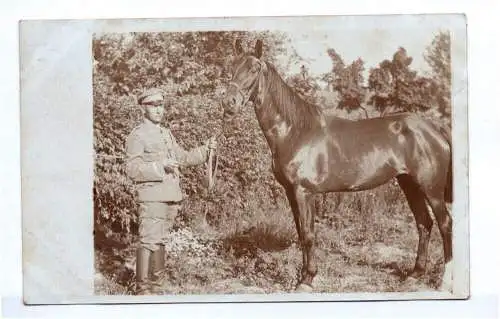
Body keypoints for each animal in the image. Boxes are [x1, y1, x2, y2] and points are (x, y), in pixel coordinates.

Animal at [221, 37, 456, 292]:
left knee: (444, 223)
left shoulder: (304, 192)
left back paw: (446, 280)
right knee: (424, 223)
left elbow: (308, 234)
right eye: (232, 65)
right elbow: (301, 233)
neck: (295, 131)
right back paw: (415, 274)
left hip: (431, 189)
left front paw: (307, 280)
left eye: (254, 68)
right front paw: (302, 276)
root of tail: (434, 128)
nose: (229, 102)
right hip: (409, 184)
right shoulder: (291, 193)